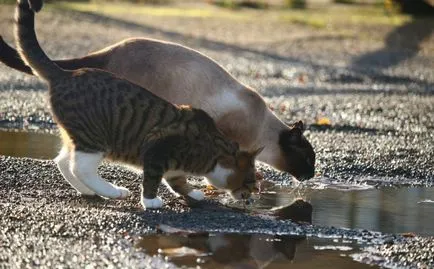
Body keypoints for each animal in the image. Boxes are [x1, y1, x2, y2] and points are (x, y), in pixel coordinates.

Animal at [14, 0, 262, 209]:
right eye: (251, 180)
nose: (253, 195)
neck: (213, 150)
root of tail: (65, 73)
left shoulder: (173, 165)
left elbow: (177, 181)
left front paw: (192, 193)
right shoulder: (158, 148)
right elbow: (152, 178)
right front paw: (151, 201)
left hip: (78, 135)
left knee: (63, 161)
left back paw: (88, 190)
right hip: (94, 136)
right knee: (80, 167)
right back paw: (113, 191)